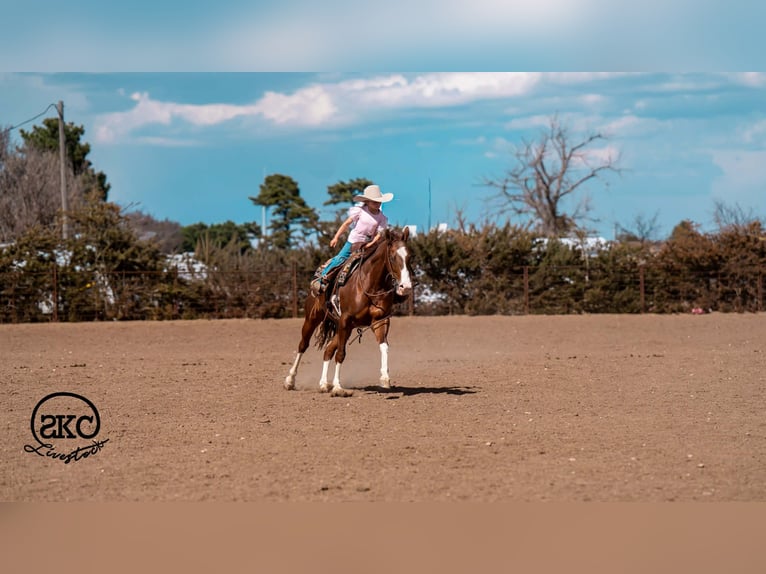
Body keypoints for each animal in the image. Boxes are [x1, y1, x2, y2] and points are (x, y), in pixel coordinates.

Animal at [284, 227, 413, 397]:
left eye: (410, 257)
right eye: (392, 257)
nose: (406, 287)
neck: (369, 285)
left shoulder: (380, 320)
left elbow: (384, 346)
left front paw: (385, 378)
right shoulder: (345, 319)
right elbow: (341, 353)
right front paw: (338, 387)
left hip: (344, 328)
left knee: (327, 350)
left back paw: (323, 384)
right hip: (313, 318)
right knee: (303, 346)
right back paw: (290, 380)